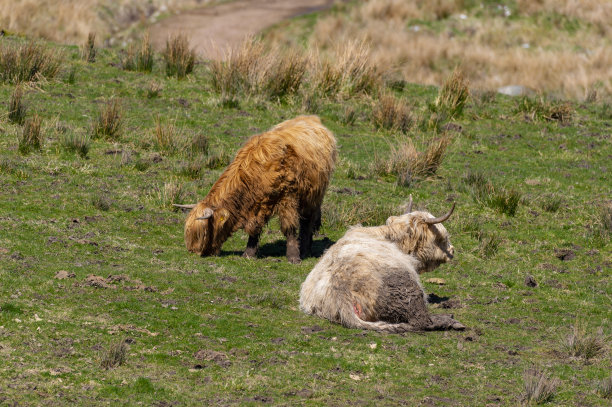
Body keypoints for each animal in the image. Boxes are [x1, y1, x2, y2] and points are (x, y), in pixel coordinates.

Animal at [177, 115, 338, 264]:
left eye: (202, 233)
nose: (193, 251)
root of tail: (311, 118)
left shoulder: (288, 198)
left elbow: (290, 228)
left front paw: (293, 257)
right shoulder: (257, 205)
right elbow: (254, 228)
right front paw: (249, 253)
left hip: (313, 195)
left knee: (308, 221)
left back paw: (304, 250)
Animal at [298, 198, 464, 334]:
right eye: (441, 238)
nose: (452, 250)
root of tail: (340, 295)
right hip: (407, 292)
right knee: (421, 321)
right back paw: (450, 321)